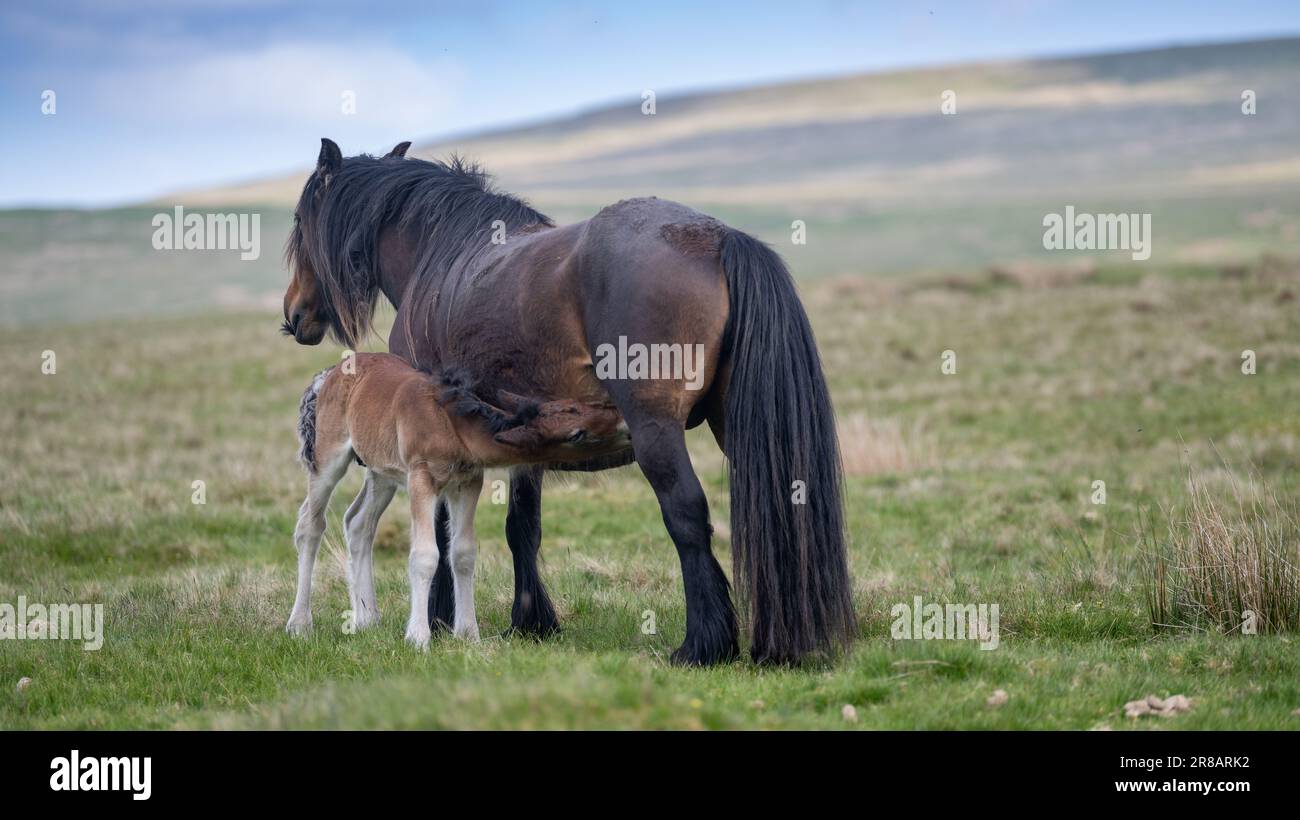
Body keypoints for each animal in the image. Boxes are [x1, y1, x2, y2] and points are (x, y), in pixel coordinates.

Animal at [286, 353, 629, 647]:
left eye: (576, 406)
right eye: (577, 434)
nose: (623, 421)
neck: (449, 424)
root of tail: (327, 374)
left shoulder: (468, 483)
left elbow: (463, 554)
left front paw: (467, 634)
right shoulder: (421, 479)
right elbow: (425, 556)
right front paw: (418, 638)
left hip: (381, 471)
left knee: (358, 523)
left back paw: (366, 619)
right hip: (329, 458)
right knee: (310, 525)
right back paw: (300, 624)